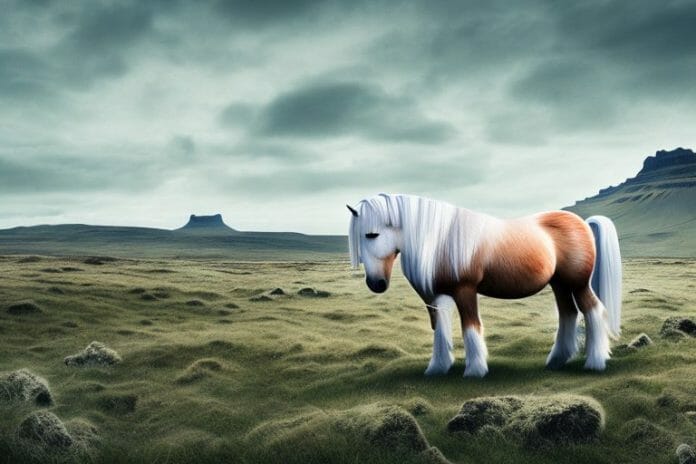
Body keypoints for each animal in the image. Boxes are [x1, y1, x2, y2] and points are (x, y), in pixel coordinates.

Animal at [347, 193, 622, 378]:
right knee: (568, 313)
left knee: (592, 311)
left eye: (372, 234)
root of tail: (583, 222)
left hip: (578, 284)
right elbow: (440, 331)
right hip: (560, 284)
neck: (440, 242)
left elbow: (470, 327)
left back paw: (595, 362)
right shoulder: (437, 297)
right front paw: (437, 368)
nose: (376, 284)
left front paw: (475, 370)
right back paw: (556, 360)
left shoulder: (465, 291)